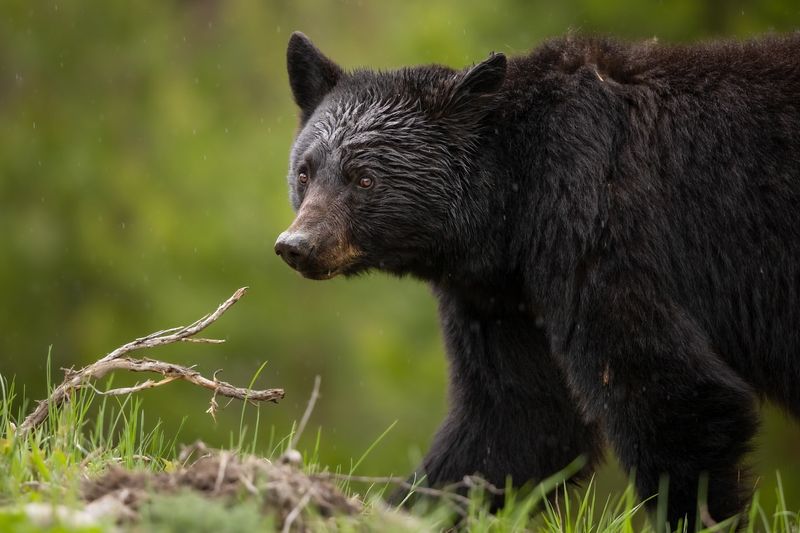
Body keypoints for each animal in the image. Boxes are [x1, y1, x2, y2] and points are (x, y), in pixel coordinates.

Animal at [276, 31, 800, 524]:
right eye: (305, 172)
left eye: (364, 178)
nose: (297, 245)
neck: (512, 207)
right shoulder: (501, 296)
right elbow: (518, 421)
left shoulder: (599, 233)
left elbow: (670, 392)